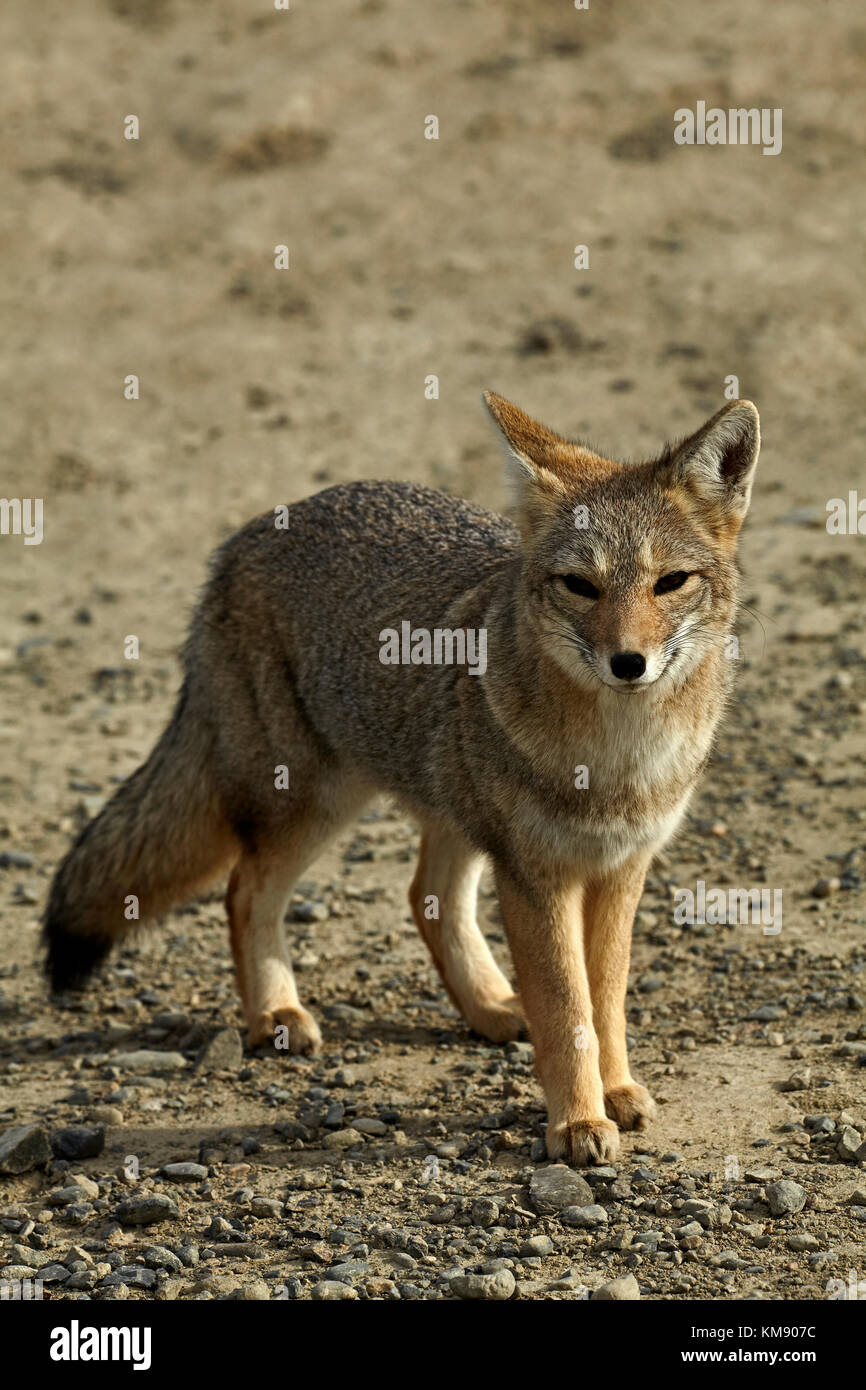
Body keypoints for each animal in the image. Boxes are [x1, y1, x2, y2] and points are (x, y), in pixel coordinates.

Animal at [44, 391, 756, 1162]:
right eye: (581, 586)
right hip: (314, 802)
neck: (620, 762)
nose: (629, 663)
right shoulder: (536, 875)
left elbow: (606, 1001)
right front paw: (576, 1122)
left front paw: (616, 1090)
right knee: (245, 889)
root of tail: (253, 531)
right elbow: (568, 1011)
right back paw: (276, 1013)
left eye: (669, 582)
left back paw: (490, 1007)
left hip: (446, 809)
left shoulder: (622, 868)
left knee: (425, 898)